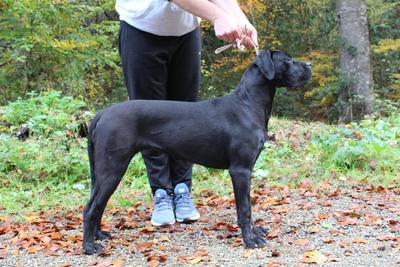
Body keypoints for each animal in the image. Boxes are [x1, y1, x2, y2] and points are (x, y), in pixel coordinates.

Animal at [82, 49, 312, 255]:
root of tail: (101, 114)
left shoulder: (246, 171)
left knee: (95, 205)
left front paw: (255, 232)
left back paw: (99, 235)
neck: (248, 103)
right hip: (113, 167)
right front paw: (250, 240)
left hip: (103, 172)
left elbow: (247, 204)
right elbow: (244, 209)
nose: (309, 65)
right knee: (91, 208)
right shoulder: (240, 170)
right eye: (288, 60)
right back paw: (89, 247)